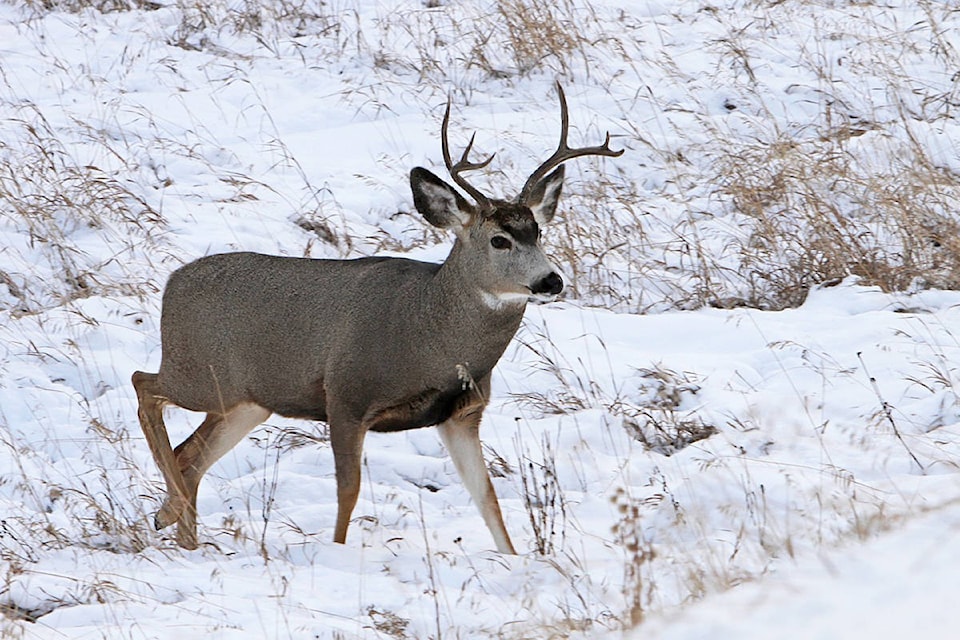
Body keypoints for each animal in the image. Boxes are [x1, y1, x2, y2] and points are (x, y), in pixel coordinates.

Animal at [131, 84, 624, 556]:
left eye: (537, 231)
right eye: (499, 239)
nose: (550, 280)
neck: (431, 335)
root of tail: (172, 283)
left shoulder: (462, 414)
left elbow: (487, 498)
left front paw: (518, 559)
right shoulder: (347, 395)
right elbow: (348, 491)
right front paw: (338, 555)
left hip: (246, 400)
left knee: (189, 454)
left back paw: (179, 528)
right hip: (197, 372)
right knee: (144, 385)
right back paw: (170, 514)